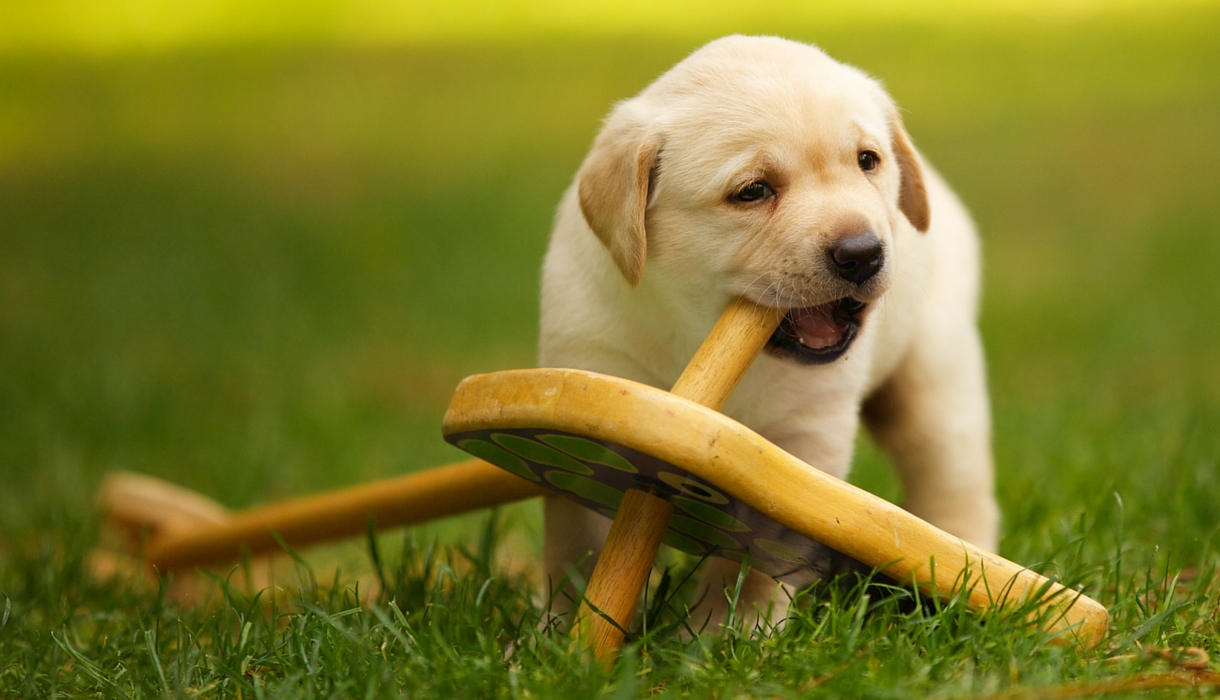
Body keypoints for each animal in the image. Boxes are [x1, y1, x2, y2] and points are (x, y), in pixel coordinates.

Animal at [539, 34, 995, 629]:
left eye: (867, 161)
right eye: (753, 191)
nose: (863, 253)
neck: (701, 330)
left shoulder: (804, 436)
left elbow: (758, 555)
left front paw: (726, 630)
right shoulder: (593, 385)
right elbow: (576, 539)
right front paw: (560, 627)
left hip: (936, 375)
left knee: (953, 481)